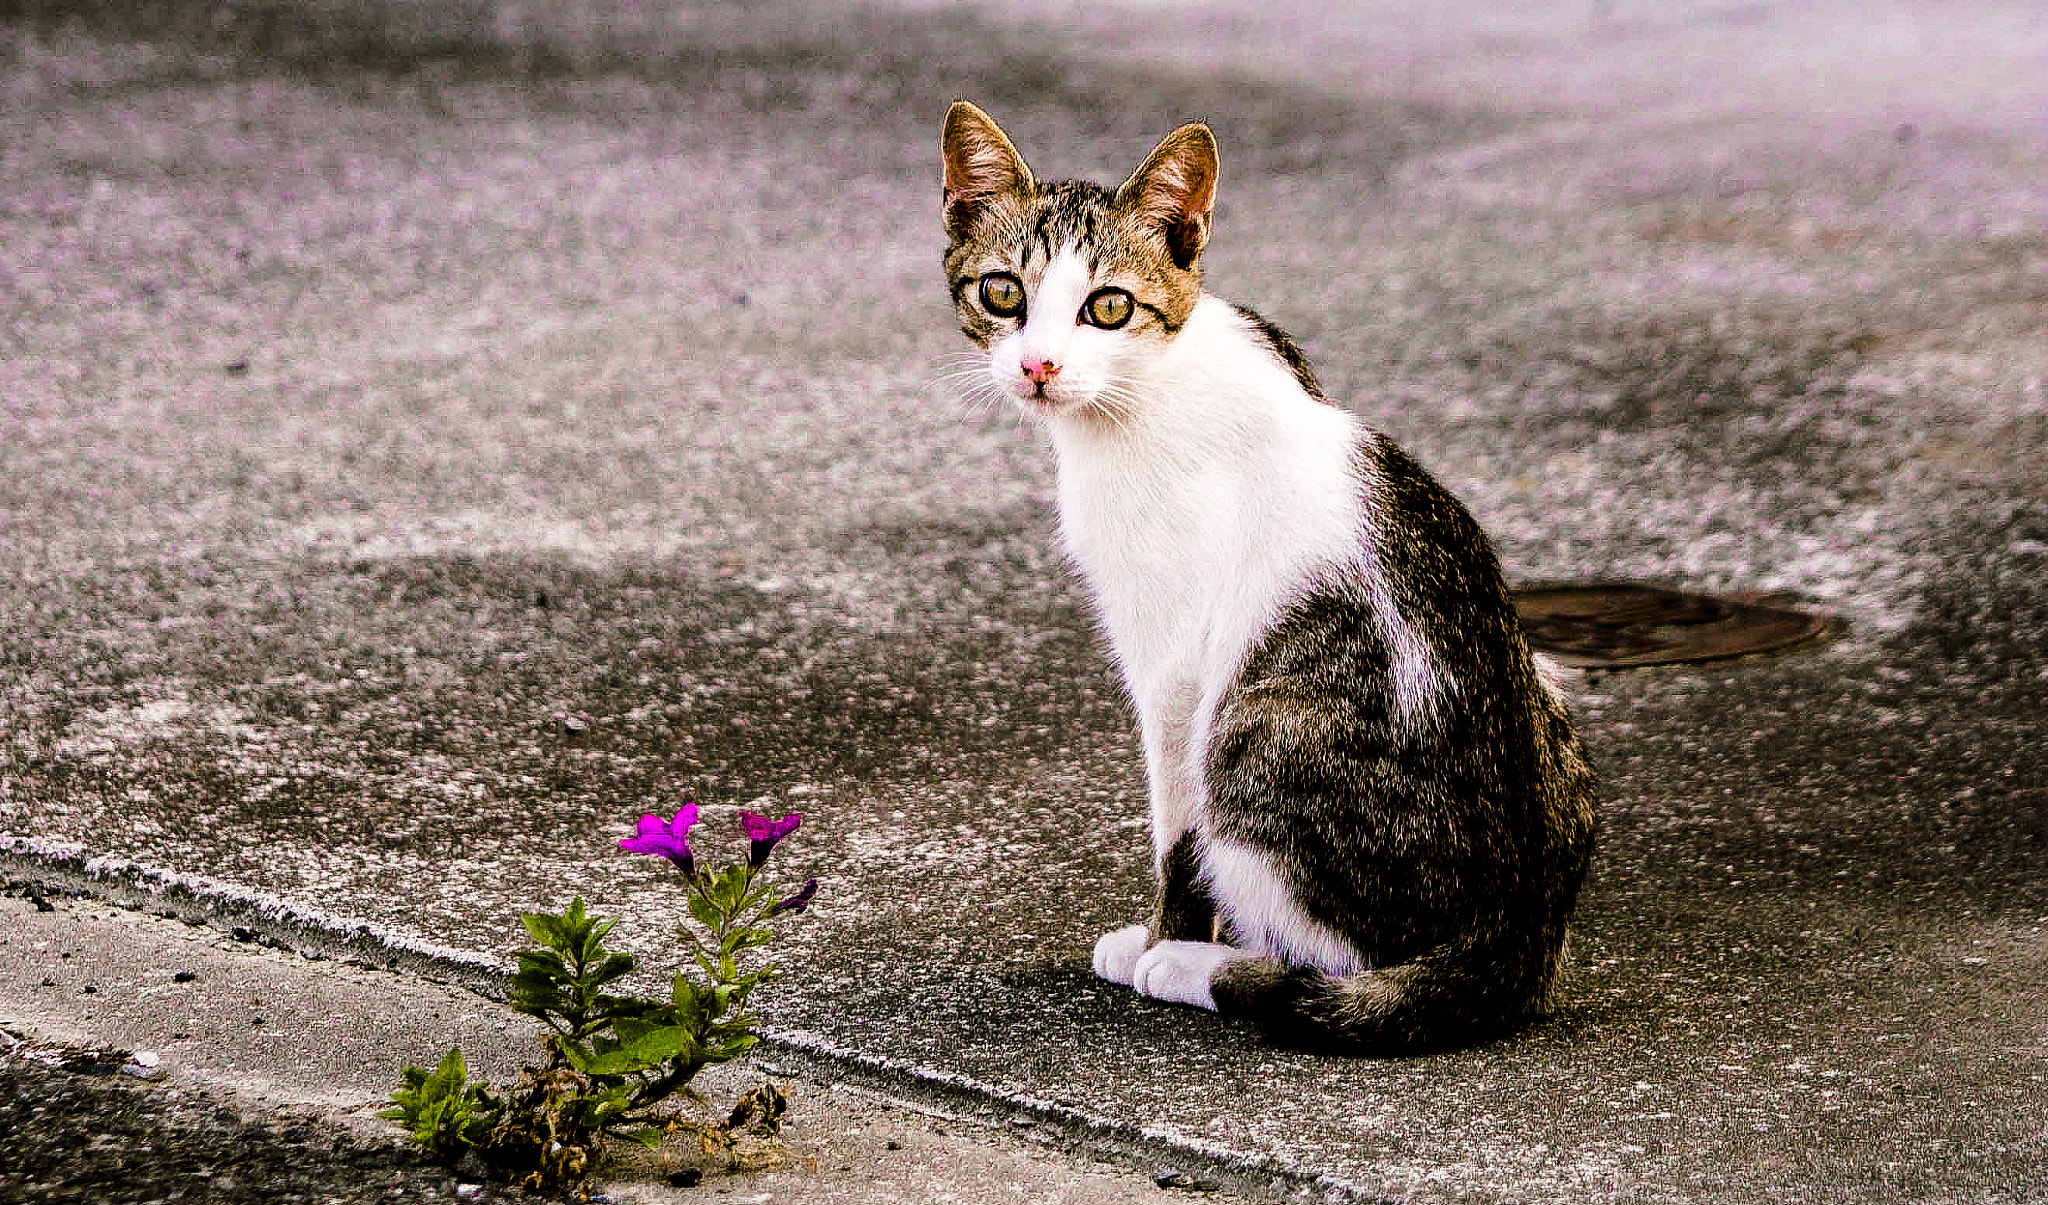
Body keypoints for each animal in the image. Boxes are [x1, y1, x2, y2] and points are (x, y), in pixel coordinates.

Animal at [937, 98, 1597, 1049]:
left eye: (1108, 306)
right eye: (1002, 292)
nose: (1039, 366)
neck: (1153, 379)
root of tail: (1516, 940)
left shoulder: (1177, 662)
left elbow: (1176, 831)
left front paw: (1161, 939)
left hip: (1257, 726)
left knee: (1334, 962)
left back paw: (1201, 967)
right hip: (1544, 684)